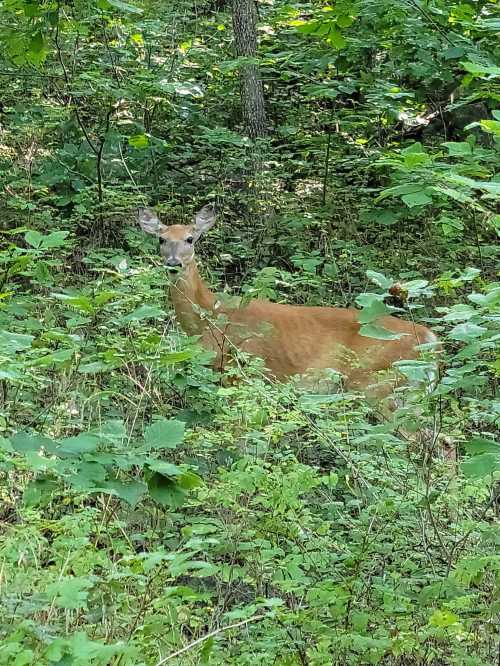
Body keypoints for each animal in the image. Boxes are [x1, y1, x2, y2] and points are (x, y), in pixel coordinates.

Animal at [138, 204, 454, 456]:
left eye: (190, 239)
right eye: (161, 239)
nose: (173, 263)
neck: (210, 316)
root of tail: (431, 340)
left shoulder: (242, 371)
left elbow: (242, 435)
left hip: (380, 385)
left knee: (429, 441)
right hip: (409, 391)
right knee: (443, 440)